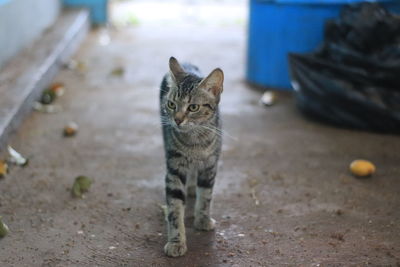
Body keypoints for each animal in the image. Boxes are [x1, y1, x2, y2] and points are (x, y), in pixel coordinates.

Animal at [159, 57, 223, 258]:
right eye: (172, 104)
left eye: (193, 107)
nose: (177, 120)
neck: (195, 142)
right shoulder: (174, 168)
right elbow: (175, 209)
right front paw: (176, 241)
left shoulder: (210, 165)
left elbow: (206, 195)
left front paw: (202, 219)